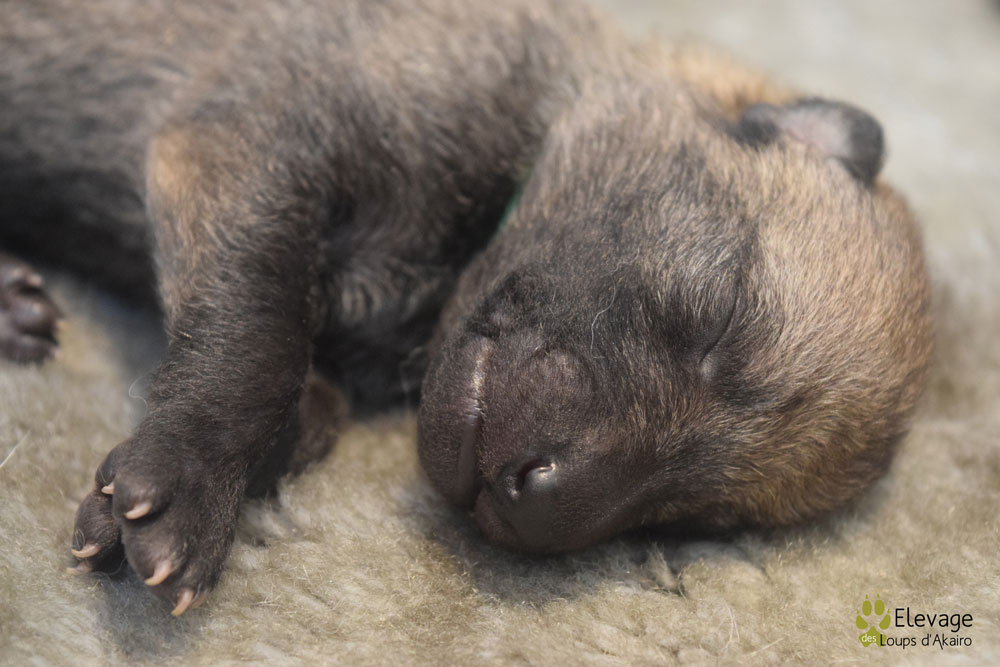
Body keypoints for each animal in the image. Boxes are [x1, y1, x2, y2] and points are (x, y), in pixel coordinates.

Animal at [0, 0, 932, 615]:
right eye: (723, 318)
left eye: (703, 517)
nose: (530, 499)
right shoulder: (250, 151)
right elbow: (256, 342)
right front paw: (191, 481)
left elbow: (301, 393)